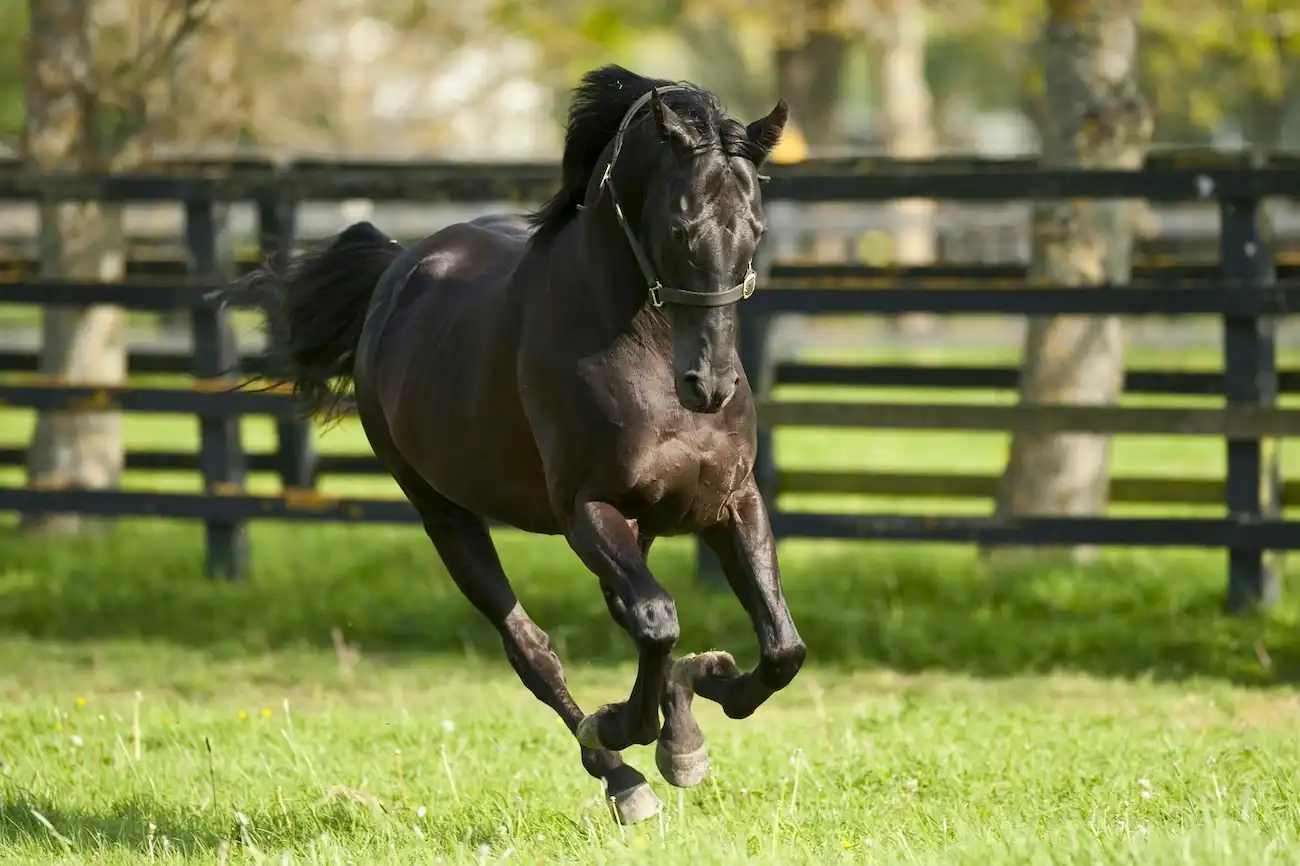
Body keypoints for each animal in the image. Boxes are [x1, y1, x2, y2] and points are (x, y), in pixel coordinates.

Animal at [228, 64, 806, 824]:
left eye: (756, 230)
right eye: (681, 227)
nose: (707, 385)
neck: (642, 351)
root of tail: (396, 270)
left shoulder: (728, 504)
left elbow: (779, 647)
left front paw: (703, 691)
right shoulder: (587, 511)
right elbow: (657, 622)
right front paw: (631, 729)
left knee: (628, 617)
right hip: (444, 515)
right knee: (534, 651)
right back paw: (623, 778)